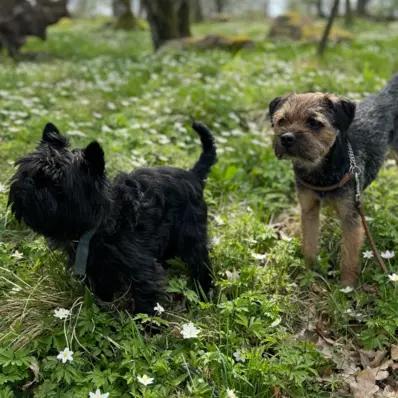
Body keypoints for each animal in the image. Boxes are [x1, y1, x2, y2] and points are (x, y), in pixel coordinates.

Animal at [7, 121, 216, 314]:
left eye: (57, 184)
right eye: (26, 172)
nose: (29, 183)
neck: (102, 220)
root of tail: (193, 175)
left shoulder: (143, 270)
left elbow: (146, 303)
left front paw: (149, 327)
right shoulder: (95, 268)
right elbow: (102, 291)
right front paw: (103, 310)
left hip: (192, 238)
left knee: (201, 266)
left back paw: (204, 294)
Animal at [268, 75, 396, 286]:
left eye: (314, 123)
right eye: (282, 120)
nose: (286, 138)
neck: (320, 170)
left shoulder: (350, 218)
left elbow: (349, 255)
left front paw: (347, 285)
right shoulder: (309, 209)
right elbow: (310, 244)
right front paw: (310, 273)